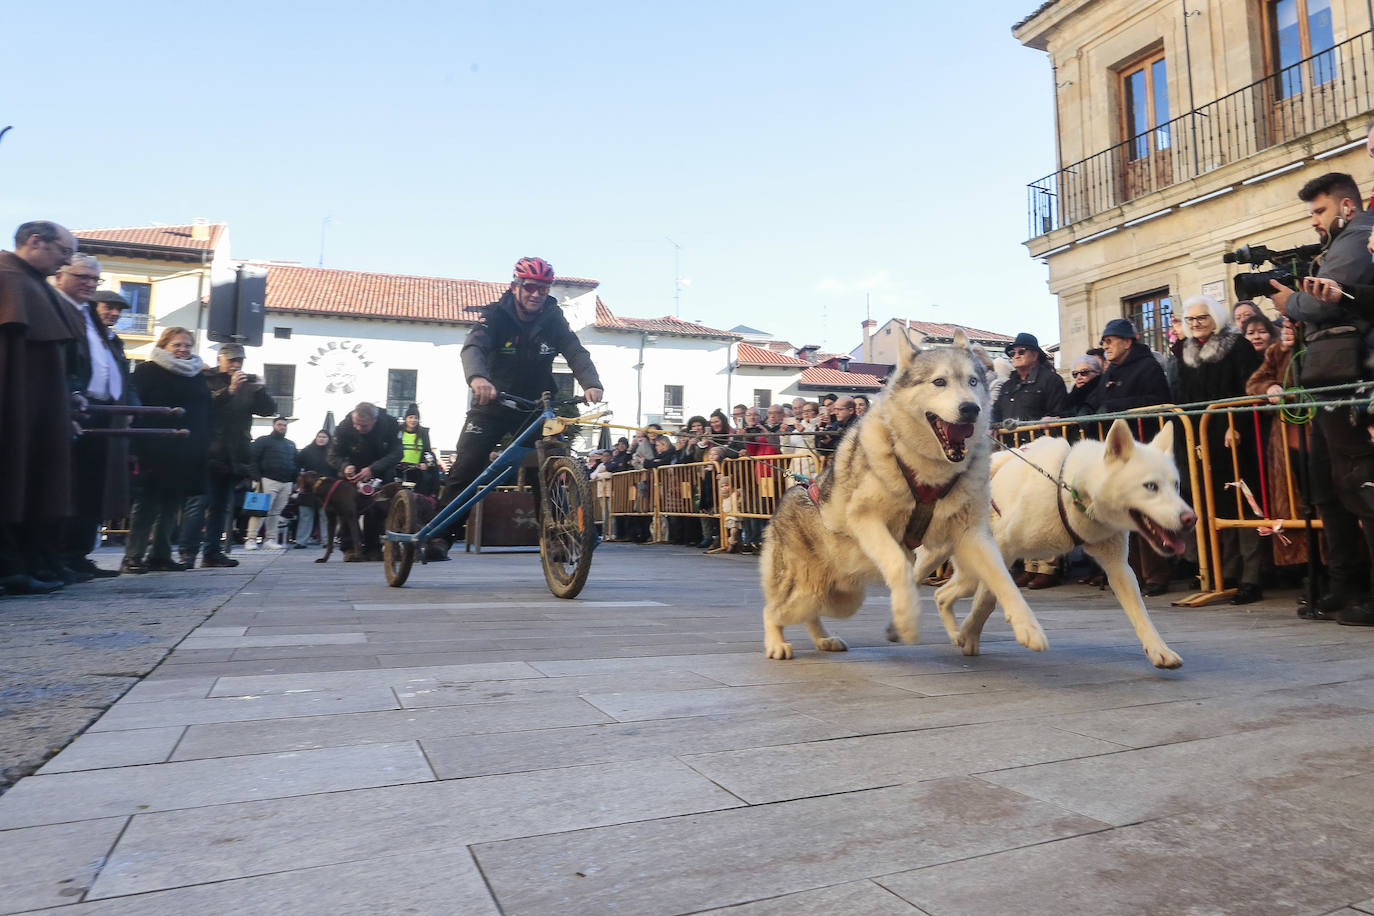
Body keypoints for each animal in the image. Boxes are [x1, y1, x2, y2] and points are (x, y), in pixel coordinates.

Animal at [758, 329, 1044, 659]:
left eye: (973, 381)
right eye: (939, 382)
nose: (971, 409)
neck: (928, 472)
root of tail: (790, 494)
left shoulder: (973, 535)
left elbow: (1004, 582)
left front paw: (1028, 627)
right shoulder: (865, 519)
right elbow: (899, 565)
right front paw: (906, 619)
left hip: (843, 599)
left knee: (809, 615)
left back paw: (824, 640)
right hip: (810, 592)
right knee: (773, 611)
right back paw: (776, 642)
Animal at [928, 420, 1198, 670]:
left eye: (1175, 485)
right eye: (1151, 486)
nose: (1191, 519)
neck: (1072, 489)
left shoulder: (1119, 568)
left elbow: (1141, 613)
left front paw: (1159, 650)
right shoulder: (1002, 551)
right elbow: (988, 599)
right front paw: (972, 633)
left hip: (969, 574)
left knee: (942, 594)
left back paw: (953, 631)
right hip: (939, 557)